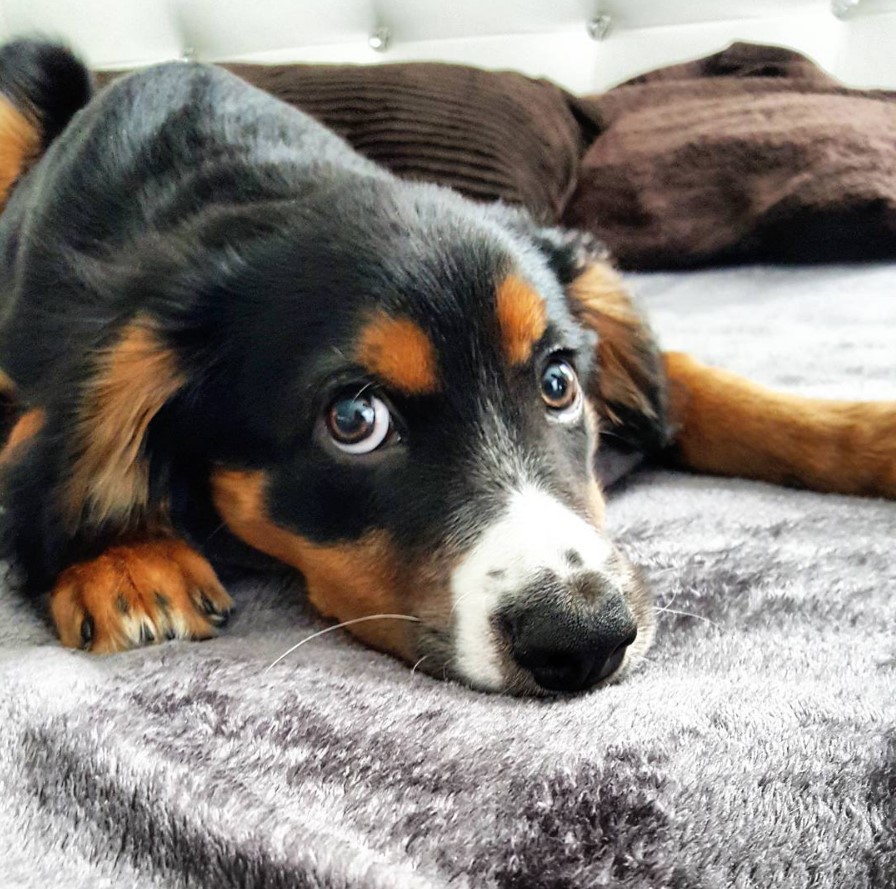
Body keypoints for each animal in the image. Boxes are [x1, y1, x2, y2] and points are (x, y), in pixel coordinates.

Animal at [1, 41, 896, 692]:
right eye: (354, 420)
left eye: (559, 383)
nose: (588, 637)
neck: (248, 178)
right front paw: (121, 558)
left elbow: (700, 386)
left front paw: (873, 433)